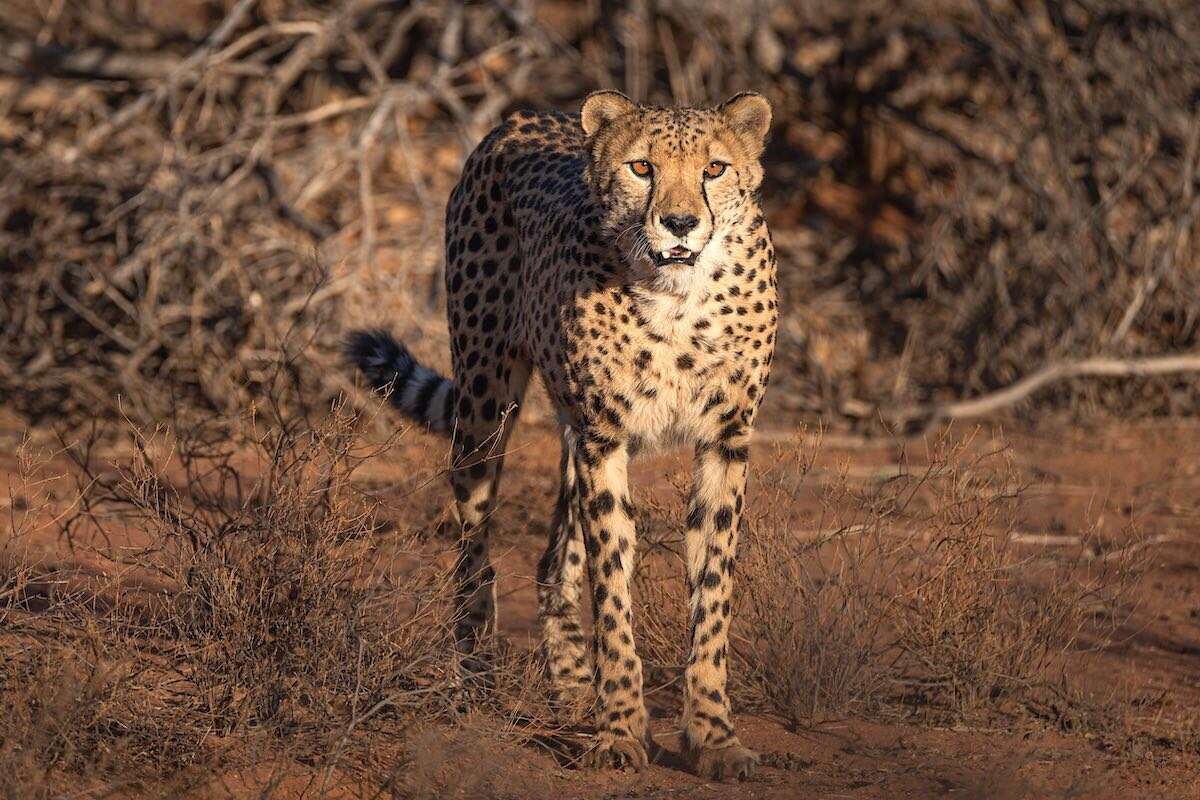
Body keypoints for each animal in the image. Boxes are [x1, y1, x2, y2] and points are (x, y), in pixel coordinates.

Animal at [348, 89, 777, 782]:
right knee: (475, 553)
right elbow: (613, 589)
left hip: (571, 434)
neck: (677, 298)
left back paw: (574, 686)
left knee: (553, 559)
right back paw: (479, 676)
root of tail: (525, 119)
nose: (681, 223)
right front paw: (621, 729)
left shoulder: (724, 440)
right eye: (641, 168)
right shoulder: (605, 437)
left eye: (714, 169)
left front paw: (713, 734)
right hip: (486, 401)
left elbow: (712, 595)